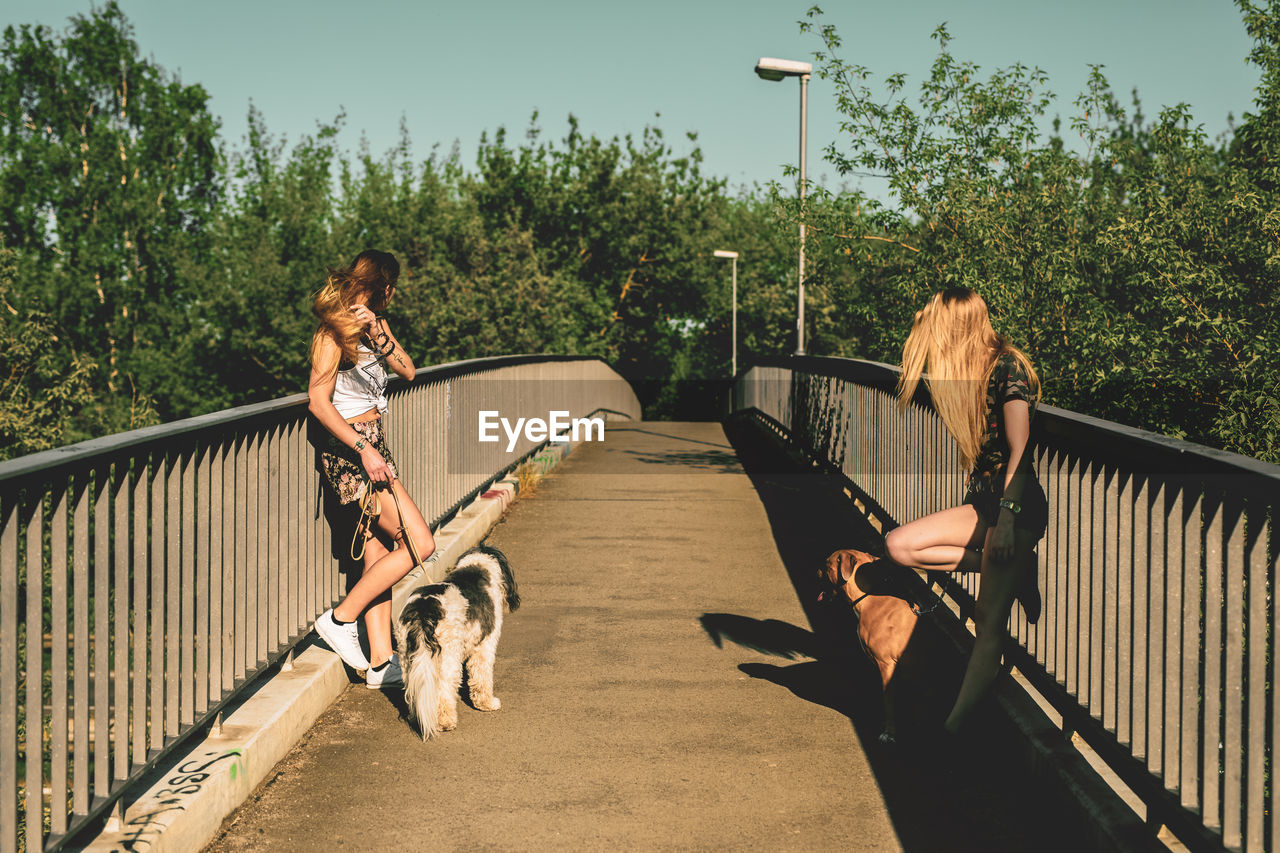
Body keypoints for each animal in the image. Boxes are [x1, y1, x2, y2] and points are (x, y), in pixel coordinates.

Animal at [396, 545, 522, 737]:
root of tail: (424, 609)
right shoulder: (485, 646)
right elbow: (482, 678)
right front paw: (487, 704)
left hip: (407, 658)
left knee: (413, 692)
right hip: (447, 660)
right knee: (442, 692)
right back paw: (445, 722)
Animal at [819, 548, 921, 742]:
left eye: (826, 564)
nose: (817, 570)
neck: (869, 598)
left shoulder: (887, 666)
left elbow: (888, 701)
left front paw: (889, 732)